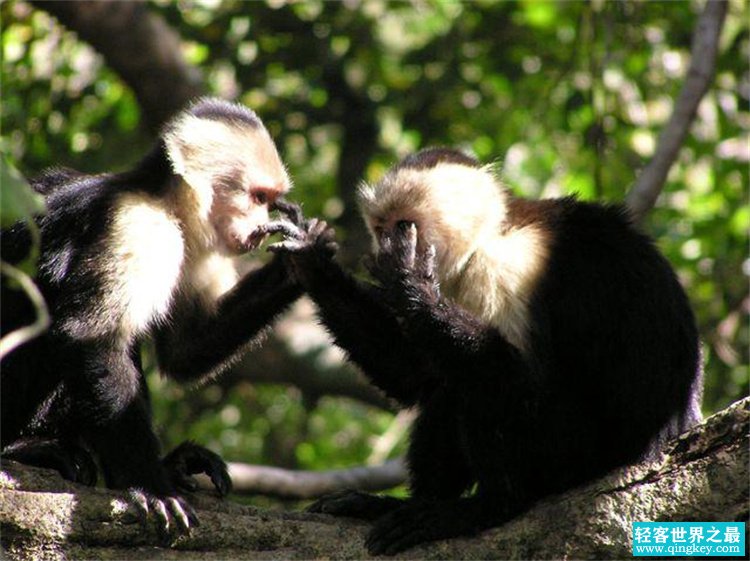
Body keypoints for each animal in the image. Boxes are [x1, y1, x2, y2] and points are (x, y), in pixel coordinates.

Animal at [0, 98, 306, 536]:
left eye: (271, 200)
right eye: (258, 196)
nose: (262, 228)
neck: (164, 202)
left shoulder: (196, 244)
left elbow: (185, 352)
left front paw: (306, 254)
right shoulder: (136, 224)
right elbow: (90, 338)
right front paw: (151, 485)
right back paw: (25, 448)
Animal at [268, 149, 704, 556]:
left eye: (403, 225)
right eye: (379, 227)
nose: (381, 248)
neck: (493, 233)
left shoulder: (506, 269)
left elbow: (526, 388)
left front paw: (411, 283)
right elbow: (417, 376)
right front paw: (312, 259)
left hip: (583, 456)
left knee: (477, 390)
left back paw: (488, 507)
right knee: (448, 386)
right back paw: (406, 505)